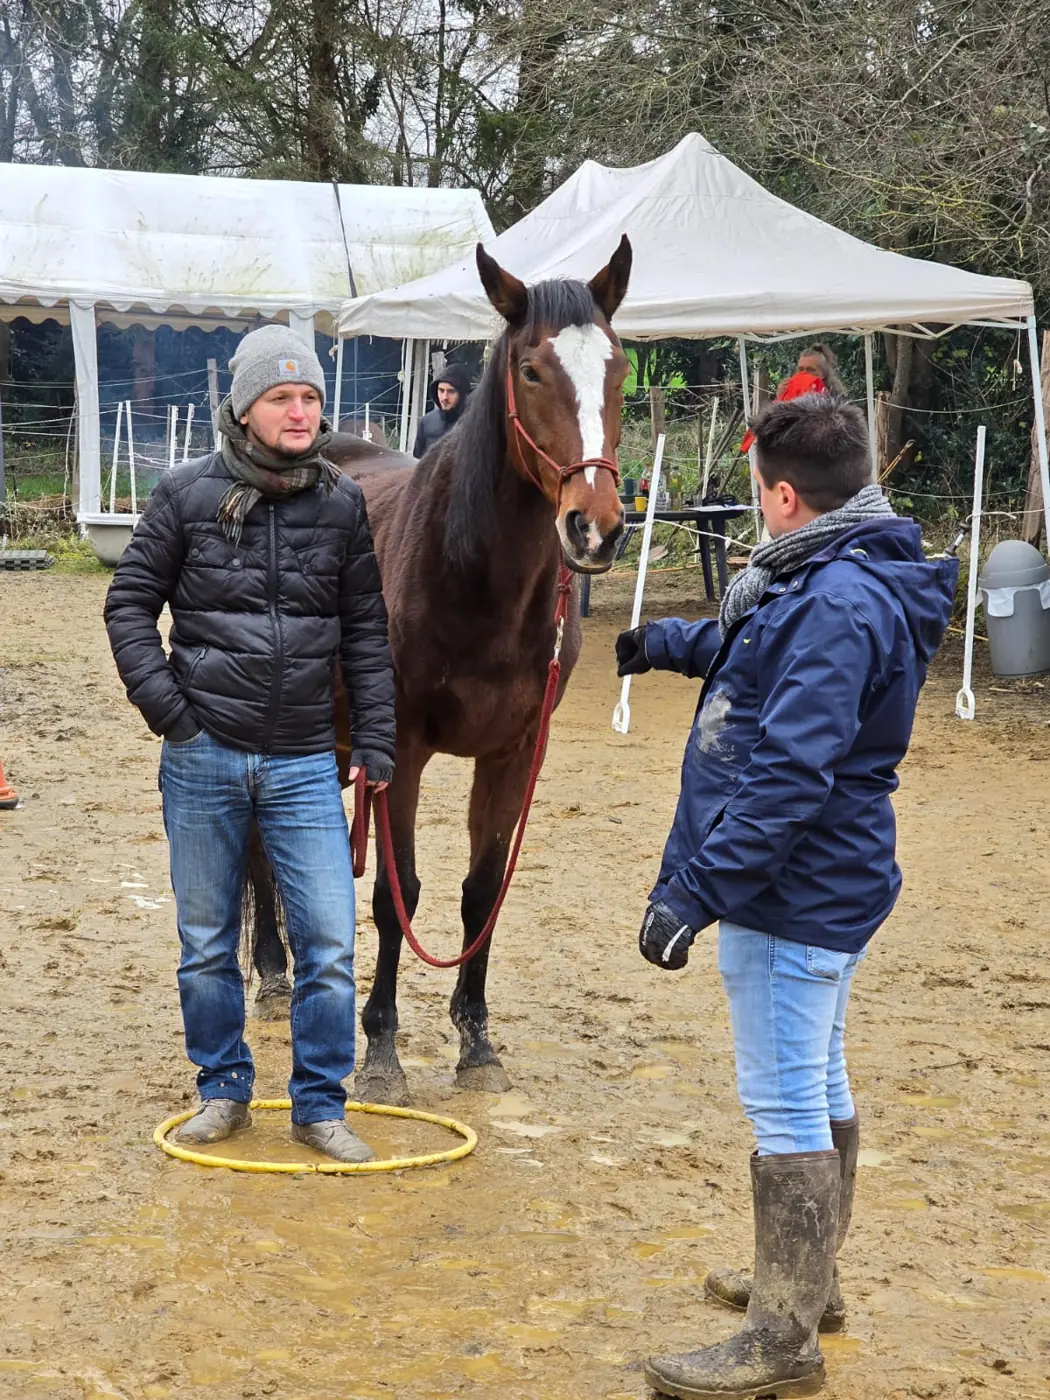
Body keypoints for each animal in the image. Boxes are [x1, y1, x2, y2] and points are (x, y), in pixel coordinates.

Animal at [247, 236, 633, 1104]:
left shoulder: (515, 754)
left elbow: (480, 892)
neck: (476, 582)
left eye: (619, 366)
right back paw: (273, 972)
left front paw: (476, 1039)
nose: (593, 528)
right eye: (531, 369)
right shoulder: (406, 749)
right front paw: (382, 1049)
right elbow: (401, 896)